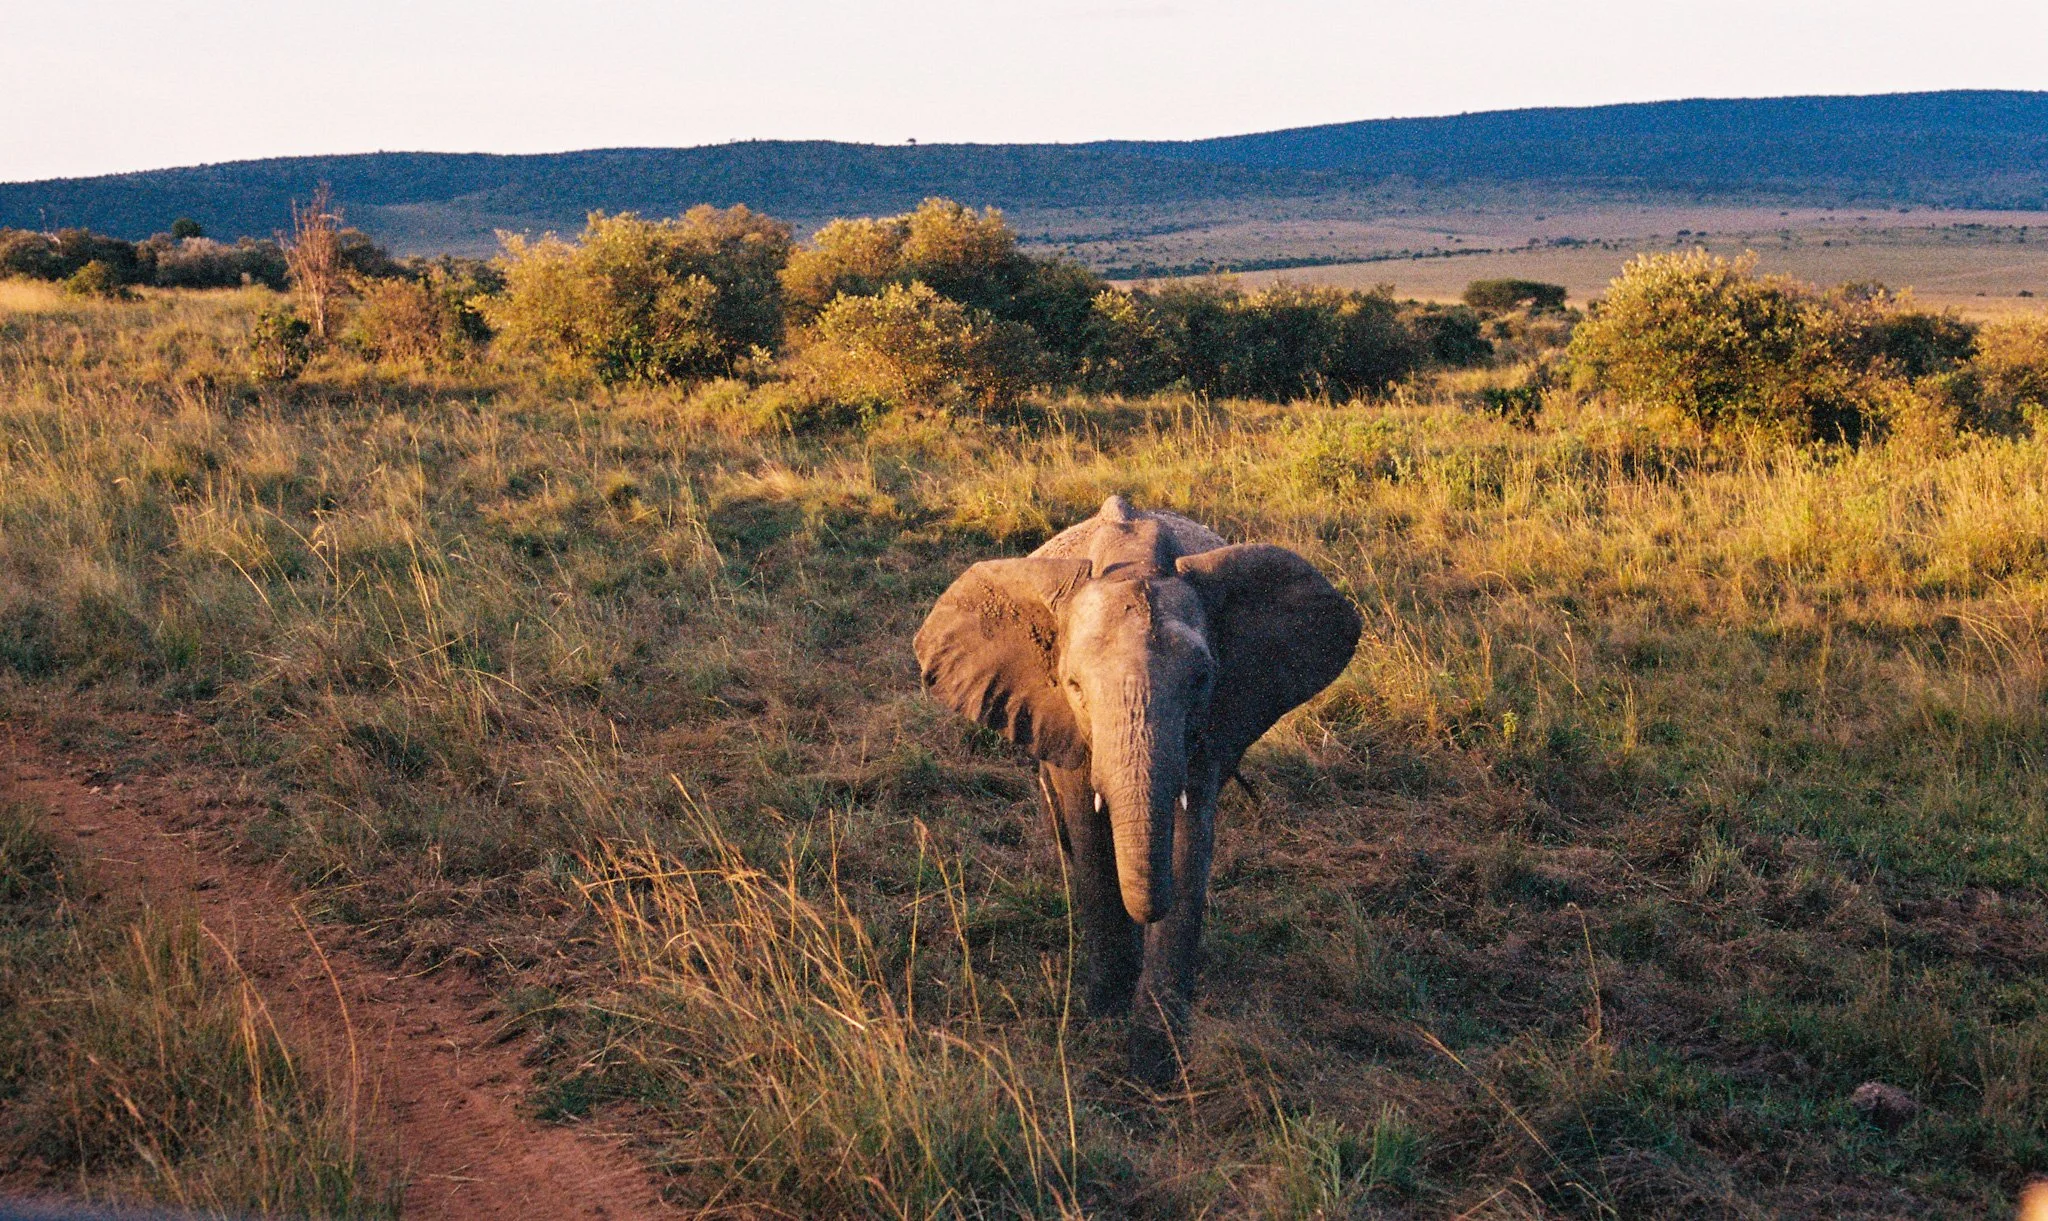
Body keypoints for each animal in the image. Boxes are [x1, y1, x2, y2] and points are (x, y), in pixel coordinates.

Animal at [914, 495, 1361, 1081]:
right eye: (1074, 684)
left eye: (1201, 679)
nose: (1147, 910)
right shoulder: (1061, 718)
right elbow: (1089, 834)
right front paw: (1105, 1014)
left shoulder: (1215, 716)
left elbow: (1192, 839)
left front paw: (1157, 1058)